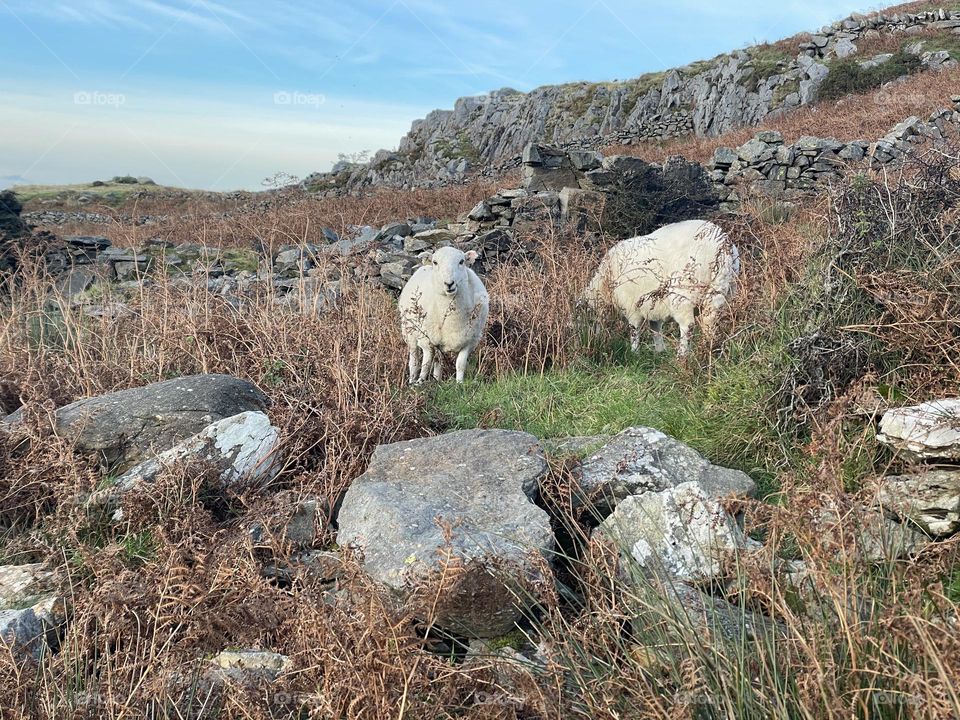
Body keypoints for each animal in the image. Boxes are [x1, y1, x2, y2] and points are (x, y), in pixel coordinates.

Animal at [398, 246, 488, 386]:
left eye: (461, 261)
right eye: (435, 262)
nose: (449, 283)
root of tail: (424, 266)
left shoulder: (469, 341)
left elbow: (460, 364)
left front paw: (459, 384)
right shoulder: (427, 341)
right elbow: (425, 364)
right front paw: (420, 383)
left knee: (438, 362)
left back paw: (437, 380)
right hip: (409, 333)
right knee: (414, 361)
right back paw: (412, 380)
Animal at [580, 219, 740, 354]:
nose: (593, 339)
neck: (605, 281)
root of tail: (721, 247)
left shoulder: (631, 304)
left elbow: (634, 328)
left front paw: (634, 352)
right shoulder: (653, 303)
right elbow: (655, 328)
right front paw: (659, 350)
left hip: (684, 292)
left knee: (687, 325)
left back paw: (682, 355)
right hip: (718, 290)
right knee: (710, 322)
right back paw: (707, 348)